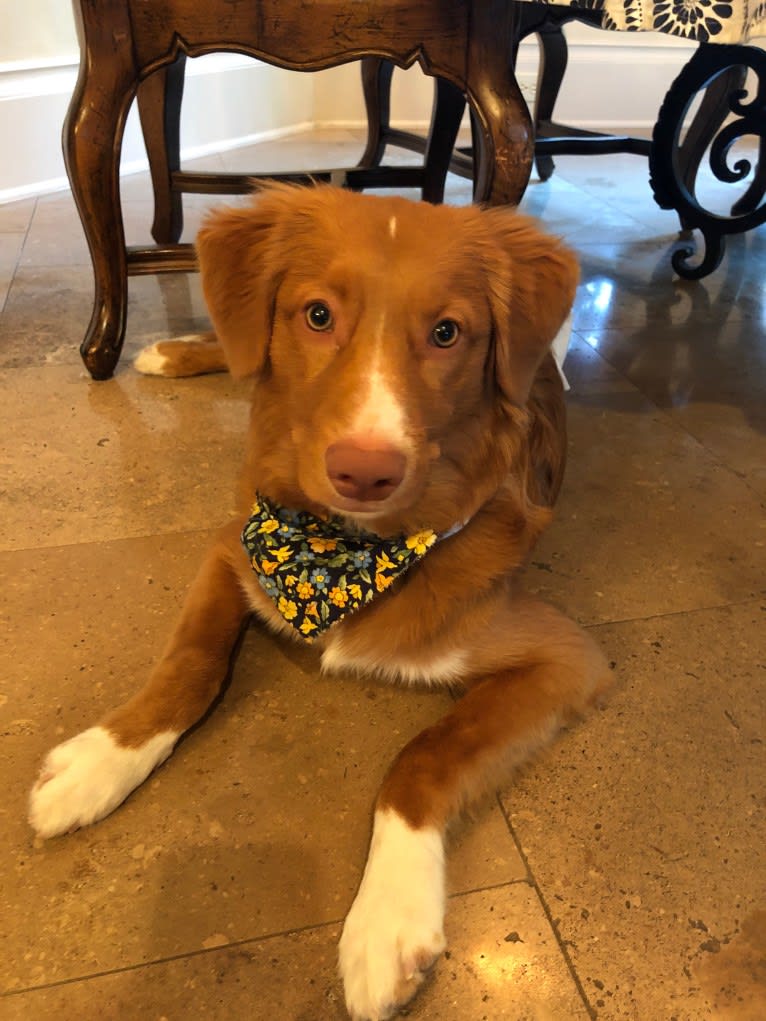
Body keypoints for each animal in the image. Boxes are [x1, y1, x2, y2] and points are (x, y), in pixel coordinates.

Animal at [28, 185, 612, 1021]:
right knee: (240, 348)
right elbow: (190, 663)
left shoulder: (565, 658)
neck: (341, 552)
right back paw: (173, 351)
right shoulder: (232, 546)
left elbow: (423, 754)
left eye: (447, 333)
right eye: (316, 315)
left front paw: (388, 918)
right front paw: (100, 761)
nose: (364, 470)